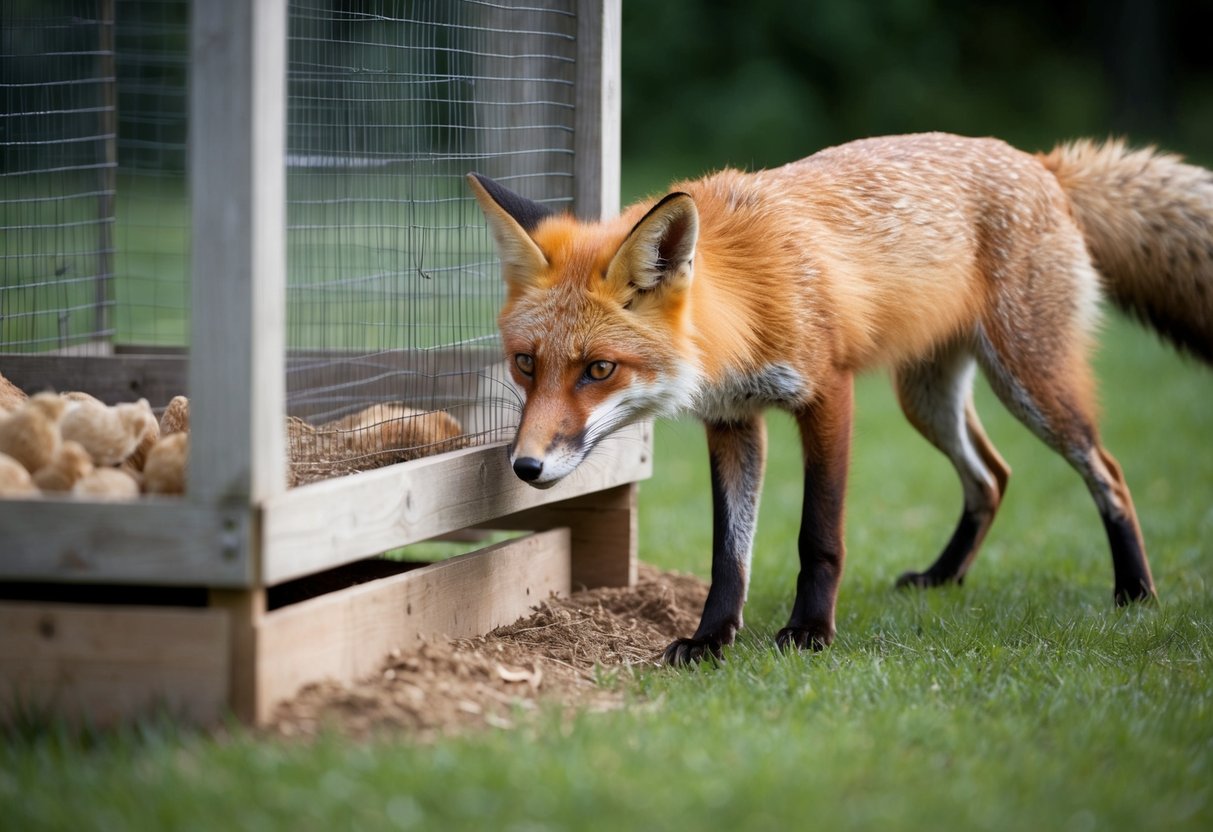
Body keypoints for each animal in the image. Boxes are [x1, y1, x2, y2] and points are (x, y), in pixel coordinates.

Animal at [467, 132, 1213, 665]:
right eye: (527, 364)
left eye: (598, 368)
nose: (525, 468)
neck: (746, 302)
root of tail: (1041, 162)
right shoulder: (734, 421)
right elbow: (728, 552)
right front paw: (711, 639)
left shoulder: (828, 395)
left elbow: (817, 535)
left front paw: (808, 632)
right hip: (927, 398)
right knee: (992, 476)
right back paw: (943, 577)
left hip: (1031, 382)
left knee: (1105, 471)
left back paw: (1134, 591)